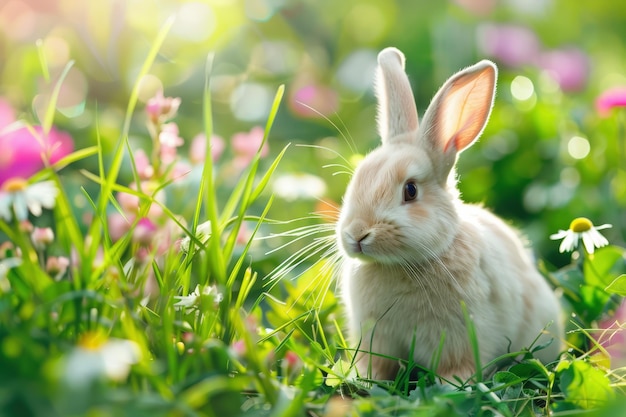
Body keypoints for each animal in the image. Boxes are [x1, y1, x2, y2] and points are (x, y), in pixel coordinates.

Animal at [336, 47, 560, 382]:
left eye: (410, 190)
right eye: (357, 178)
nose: (357, 234)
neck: (402, 265)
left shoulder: (460, 337)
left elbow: (456, 368)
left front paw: (453, 384)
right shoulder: (377, 337)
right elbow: (376, 365)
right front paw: (364, 379)